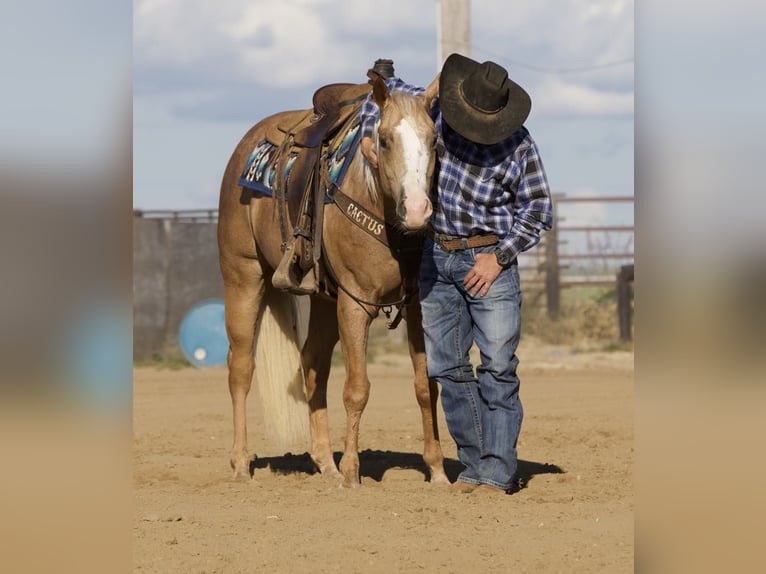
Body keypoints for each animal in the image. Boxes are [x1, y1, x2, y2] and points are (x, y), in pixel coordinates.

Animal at [216, 71, 448, 486]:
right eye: (384, 140)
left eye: (433, 139)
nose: (418, 210)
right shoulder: (355, 302)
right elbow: (357, 388)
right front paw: (353, 474)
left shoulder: (417, 306)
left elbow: (426, 385)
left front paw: (437, 471)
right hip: (243, 277)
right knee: (240, 367)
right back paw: (241, 464)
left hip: (323, 298)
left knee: (313, 364)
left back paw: (325, 462)